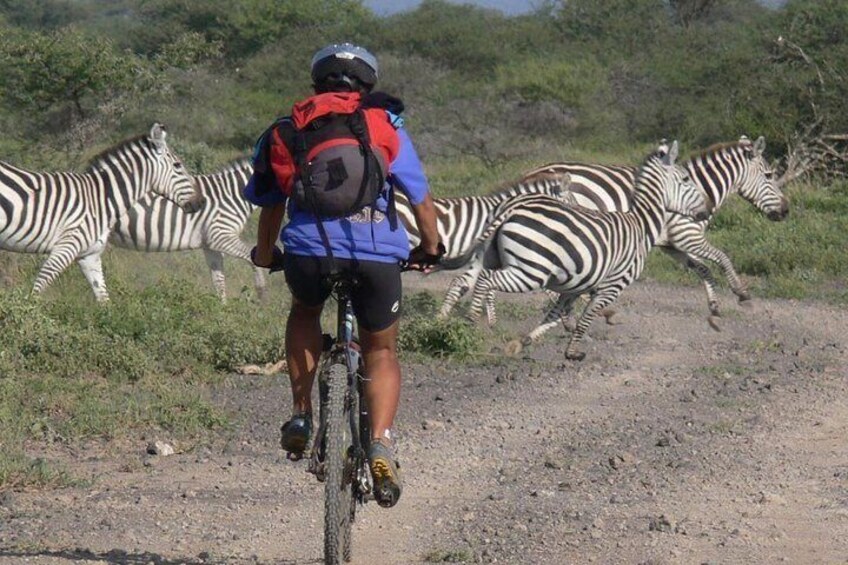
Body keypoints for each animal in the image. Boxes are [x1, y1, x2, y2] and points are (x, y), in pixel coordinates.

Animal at [0, 122, 204, 300]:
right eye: (178, 166)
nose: (200, 202)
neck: (102, 199)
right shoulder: (65, 247)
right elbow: (36, 290)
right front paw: (28, 316)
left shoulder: (90, 255)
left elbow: (104, 300)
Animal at [105, 156, 264, 302]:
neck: (232, 196)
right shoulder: (221, 236)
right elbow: (252, 258)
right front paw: (261, 296)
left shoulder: (210, 245)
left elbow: (218, 279)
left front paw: (223, 309)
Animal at [440, 134, 792, 326]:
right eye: (770, 175)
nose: (786, 212)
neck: (697, 187)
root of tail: (534, 172)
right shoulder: (686, 234)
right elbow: (722, 257)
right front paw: (742, 294)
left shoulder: (672, 245)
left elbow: (703, 268)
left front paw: (715, 306)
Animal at [450, 141, 708, 360]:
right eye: (686, 178)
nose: (706, 211)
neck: (641, 225)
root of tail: (511, 206)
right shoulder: (611, 286)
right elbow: (587, 317)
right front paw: (572, 352)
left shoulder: (574, 287)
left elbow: (554, 315)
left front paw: (523, 343)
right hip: (530, 270)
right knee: (486, 281)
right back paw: (471, 322)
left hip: (491, 258)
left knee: (472, 279)